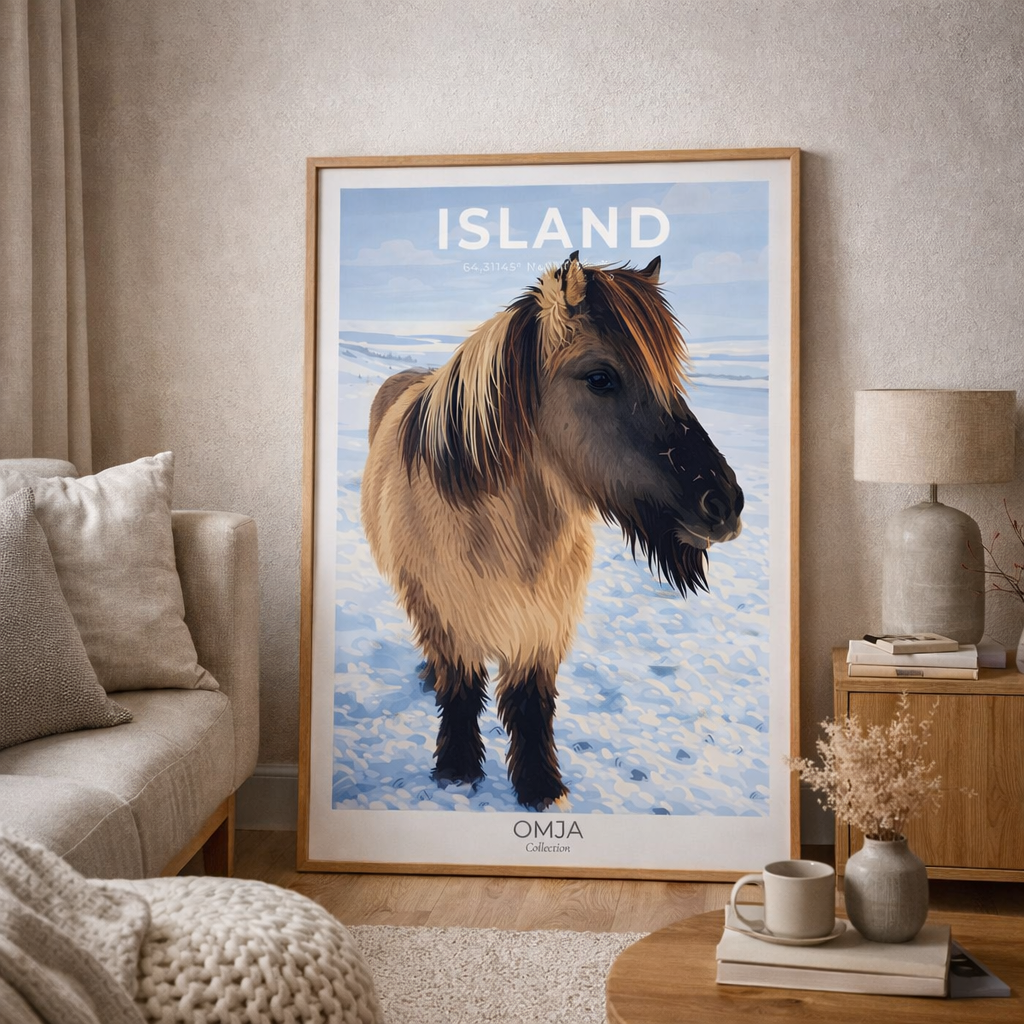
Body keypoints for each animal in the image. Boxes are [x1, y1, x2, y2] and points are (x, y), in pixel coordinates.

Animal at [360, 252, 743, 810]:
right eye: (600, 377)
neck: (502, 534)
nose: (724, 503)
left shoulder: (545, 623)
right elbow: (461, 687)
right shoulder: (446, 612)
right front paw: (457, 770)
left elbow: (530, 705)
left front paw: (540, 787)